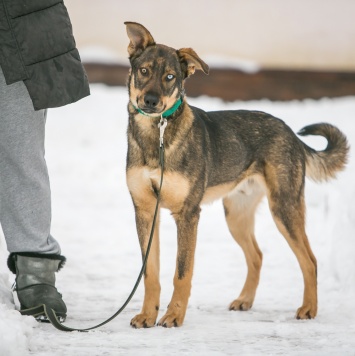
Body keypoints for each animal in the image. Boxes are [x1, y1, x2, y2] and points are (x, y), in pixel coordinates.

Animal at [124, 21, 350, 328]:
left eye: (170, 77)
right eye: (144, 71)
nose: (150, 101)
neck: (156, 136)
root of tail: (289, 131)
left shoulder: (187, 215)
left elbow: (182, 272)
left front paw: (173, 315)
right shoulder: (146, 211)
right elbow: (151, 273)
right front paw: (148, 315)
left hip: (284, 209)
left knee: (310, 261)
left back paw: (308, 309)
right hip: (236, 216)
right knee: (257, 256)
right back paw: (245, 300)